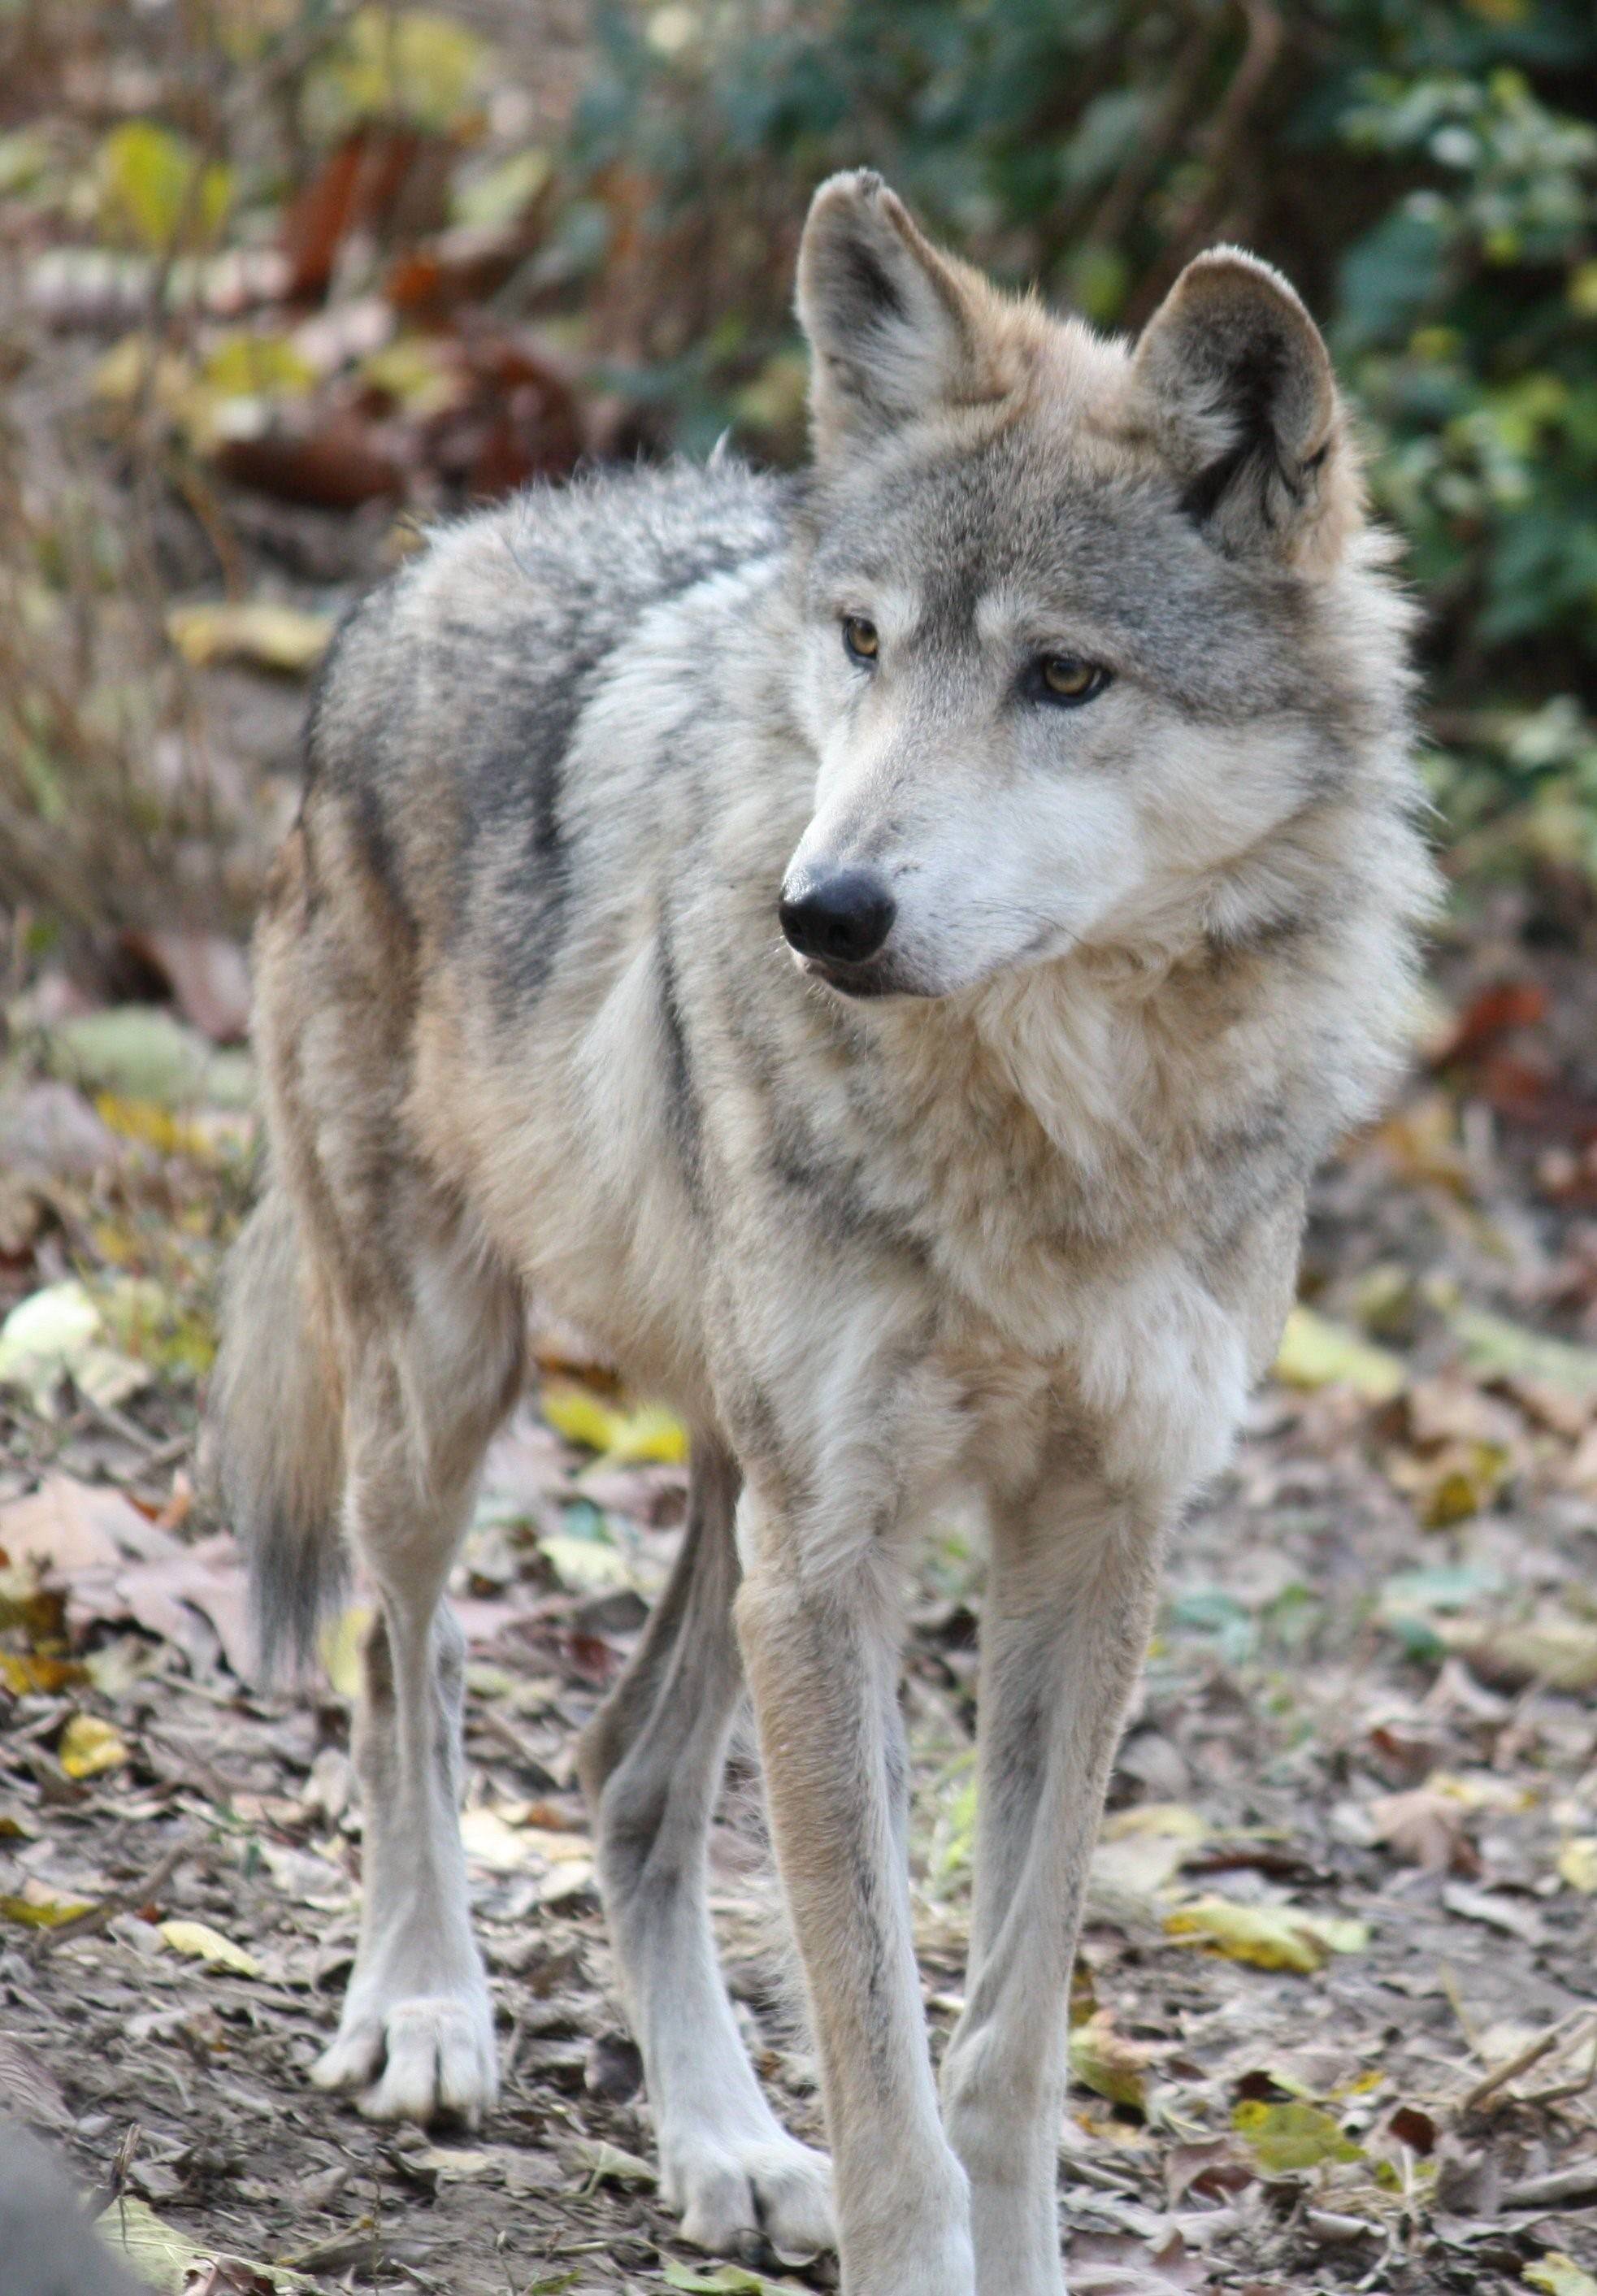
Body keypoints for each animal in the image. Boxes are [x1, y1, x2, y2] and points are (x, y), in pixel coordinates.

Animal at [205, 170, 1431, 2286]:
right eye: (862, 642)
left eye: (1063, 678)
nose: (821, 912)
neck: (1056, 1128)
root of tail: (437, 547)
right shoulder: (839, 1548)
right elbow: (883, 2059)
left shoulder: (1091, 1540)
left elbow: (1003, 2048)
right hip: (462, 1383)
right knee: (401, 1667)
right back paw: (427, 2005)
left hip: (732, 1478)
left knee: (621, 1767)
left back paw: (716, 2138)